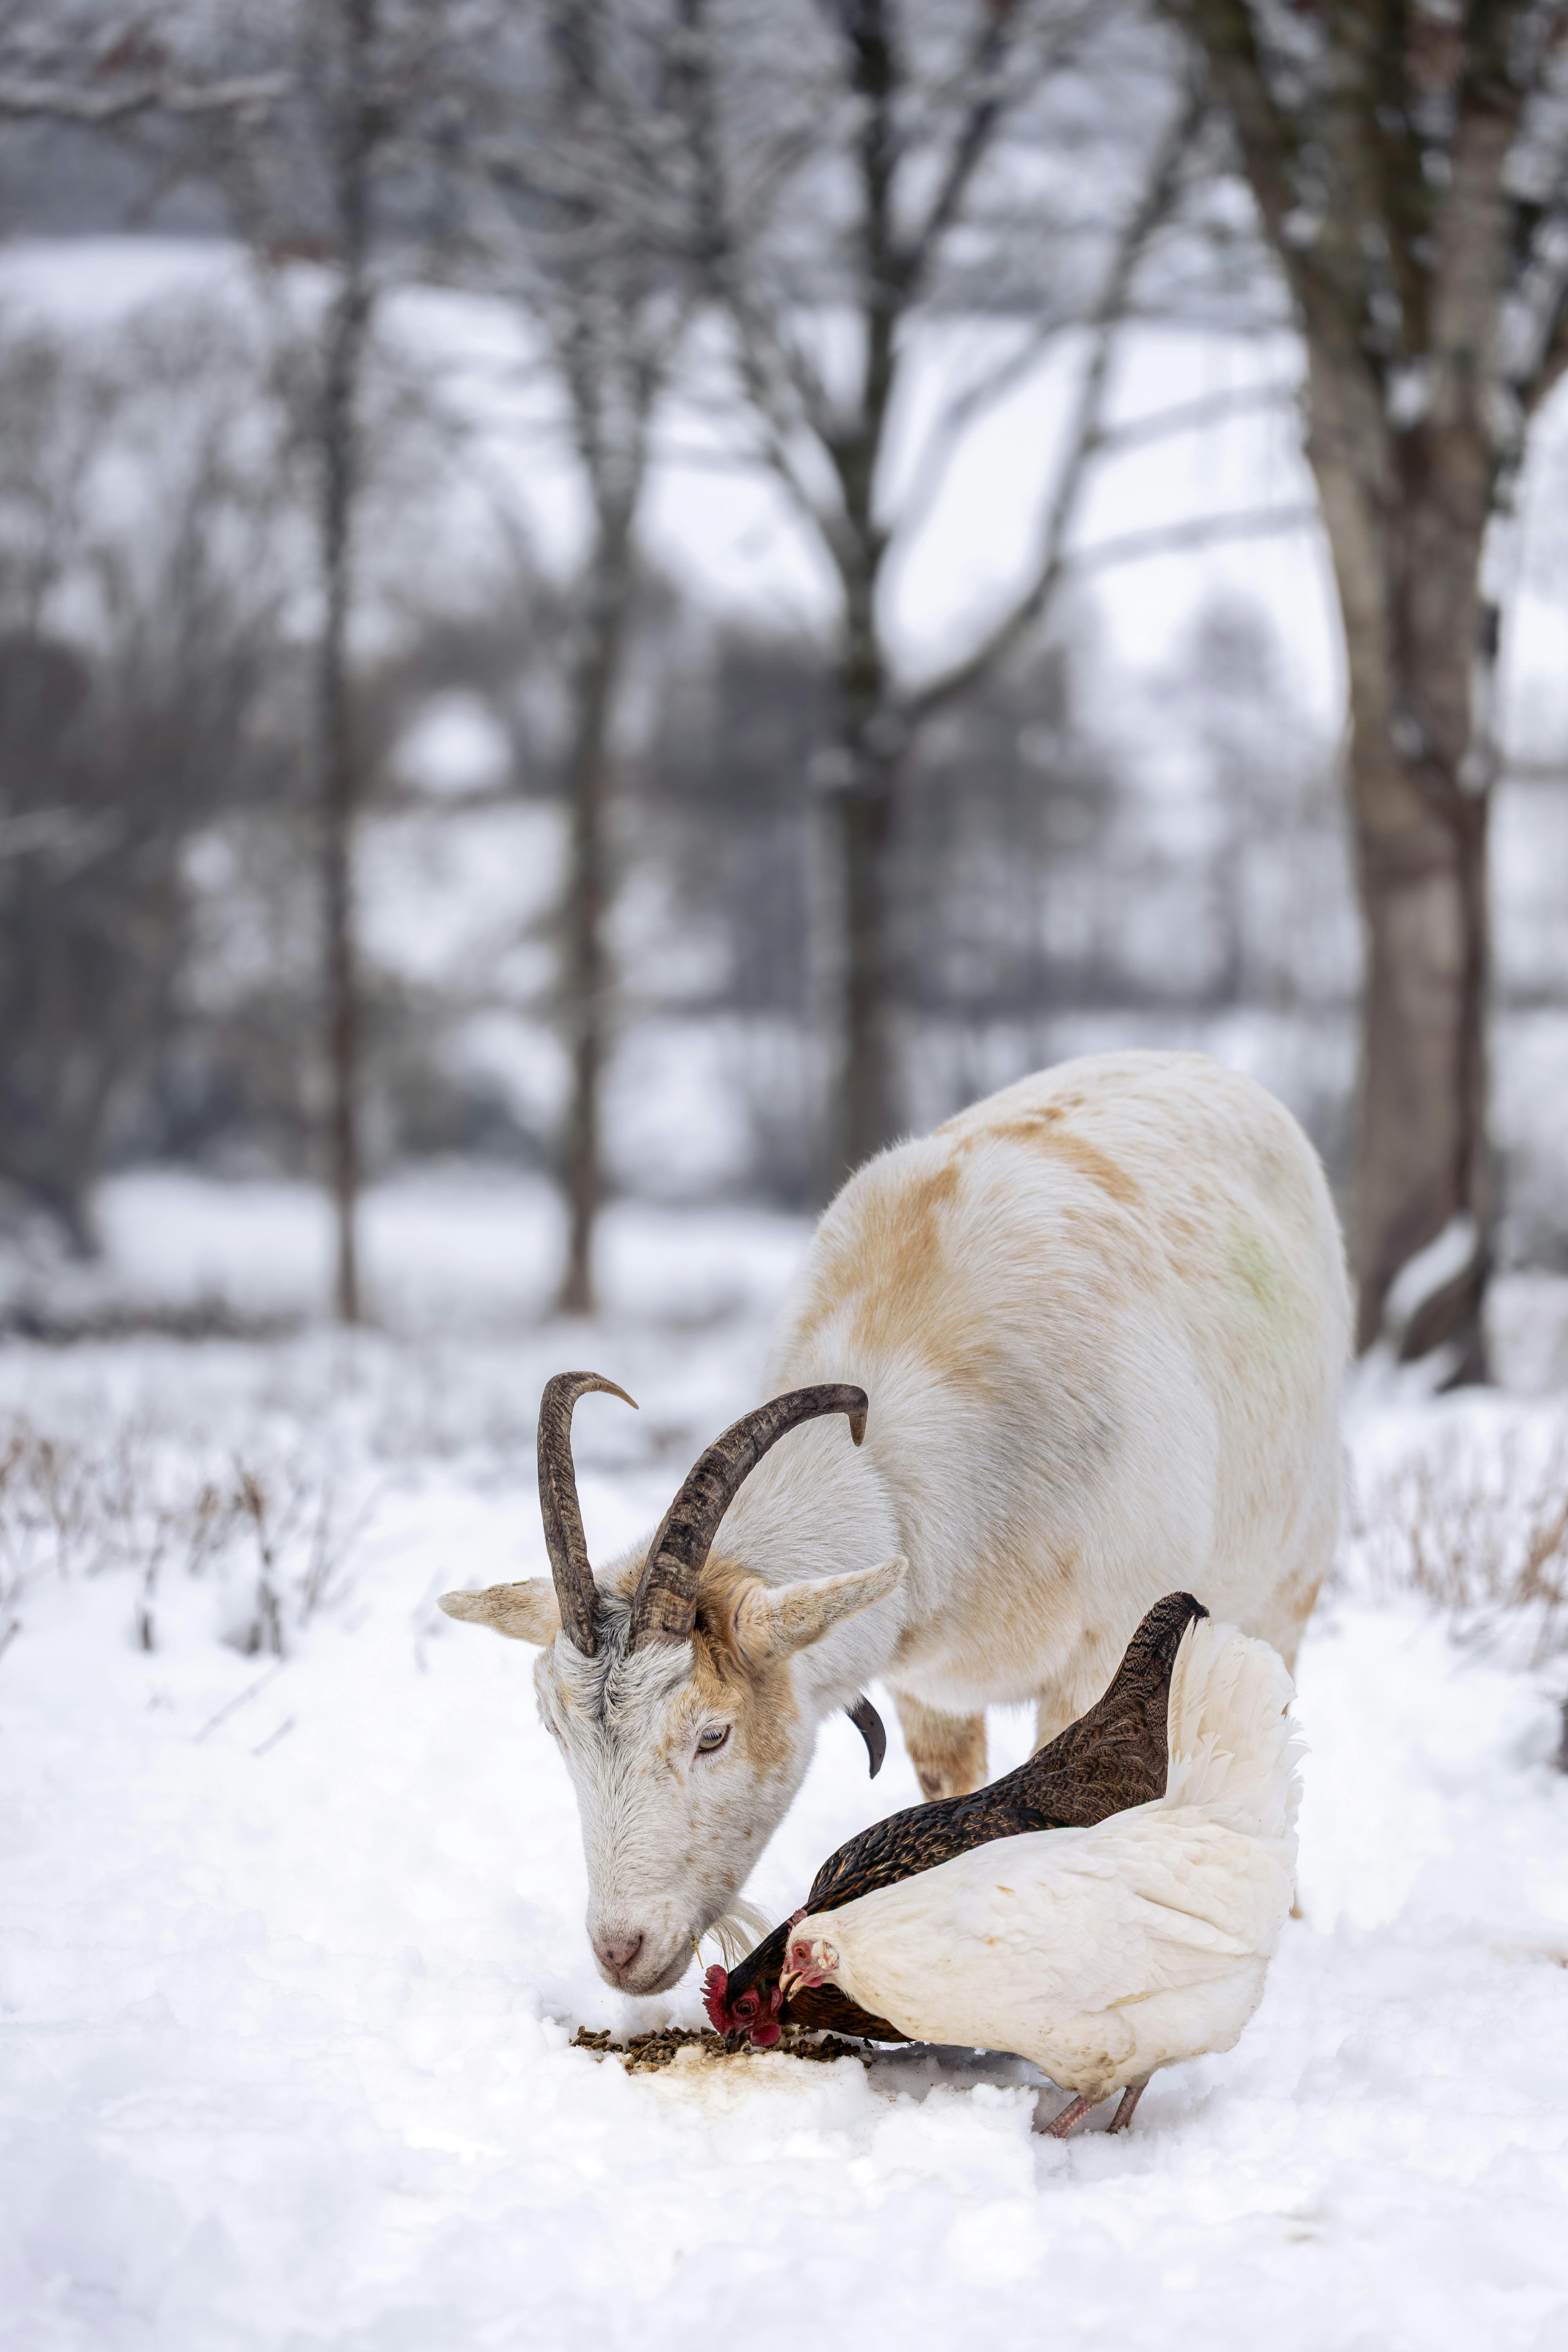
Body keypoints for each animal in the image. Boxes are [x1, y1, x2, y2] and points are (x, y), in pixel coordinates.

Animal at [440, 1050, 1348, 1998]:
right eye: (556, 1730)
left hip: (1292, 1575)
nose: (622, 1950)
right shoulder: (927, 1694)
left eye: (712, 1734)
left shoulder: (1103, 1653)